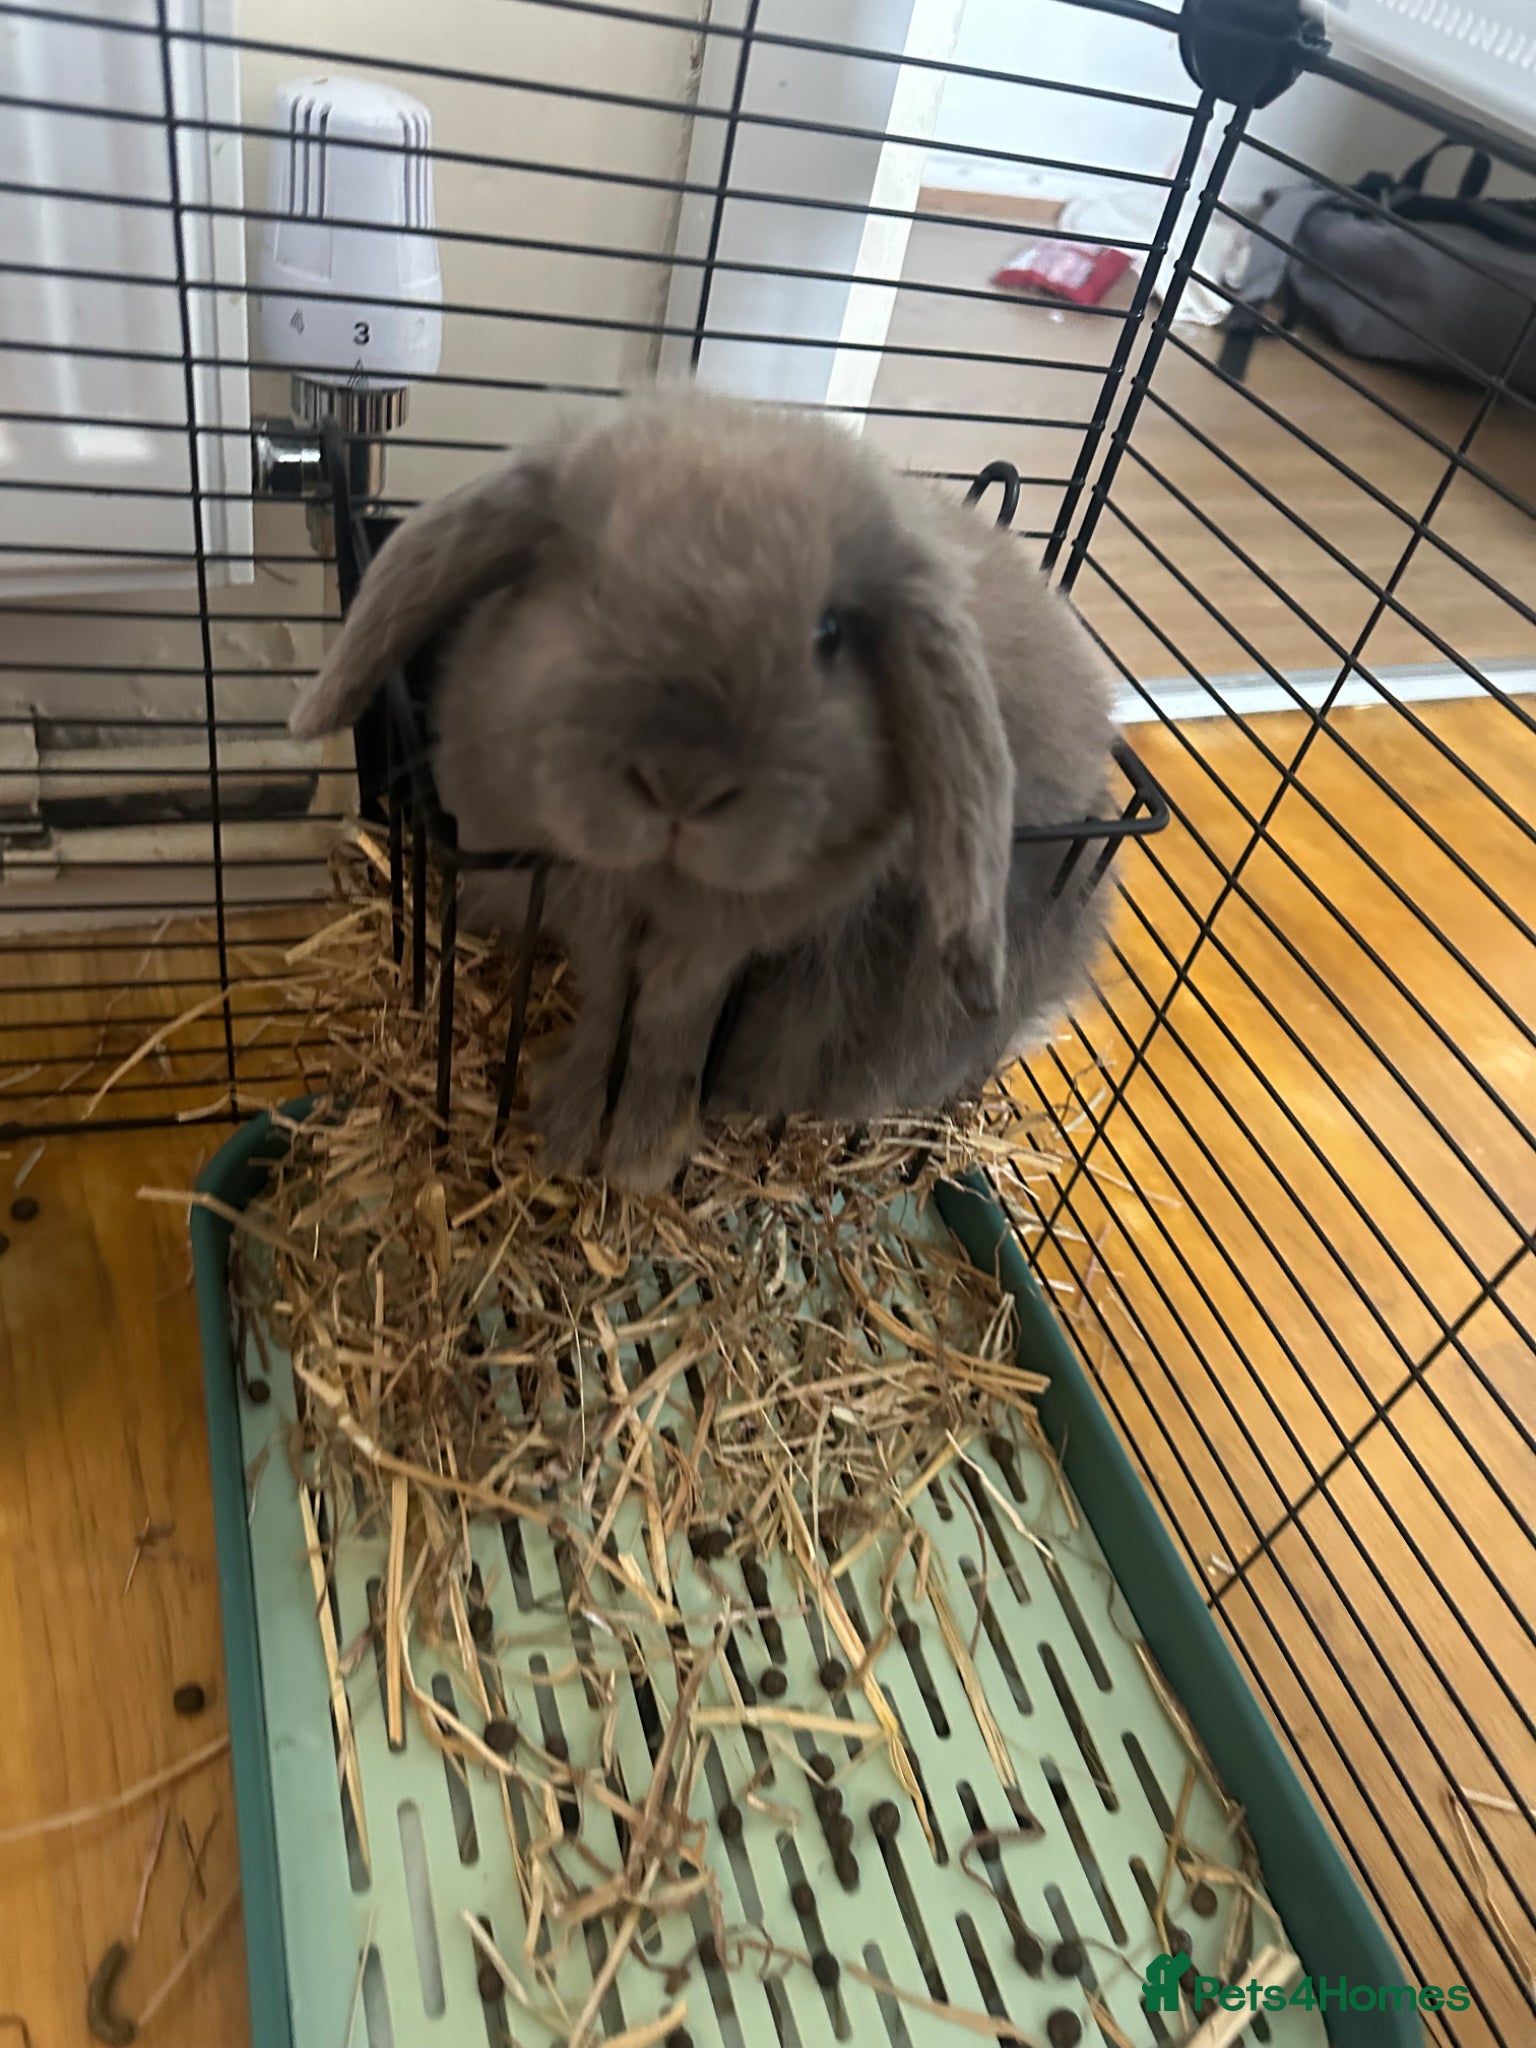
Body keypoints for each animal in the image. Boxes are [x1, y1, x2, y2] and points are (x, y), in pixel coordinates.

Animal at [289, 386, 1117, 1192]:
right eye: (593, 591)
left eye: (828, 633)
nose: (681, 782)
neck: (662, 889)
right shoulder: (594, 906)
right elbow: (611, 1002)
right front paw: (569, 1132)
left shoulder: (728, 939)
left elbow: (671, 1023)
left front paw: (639, 1155)